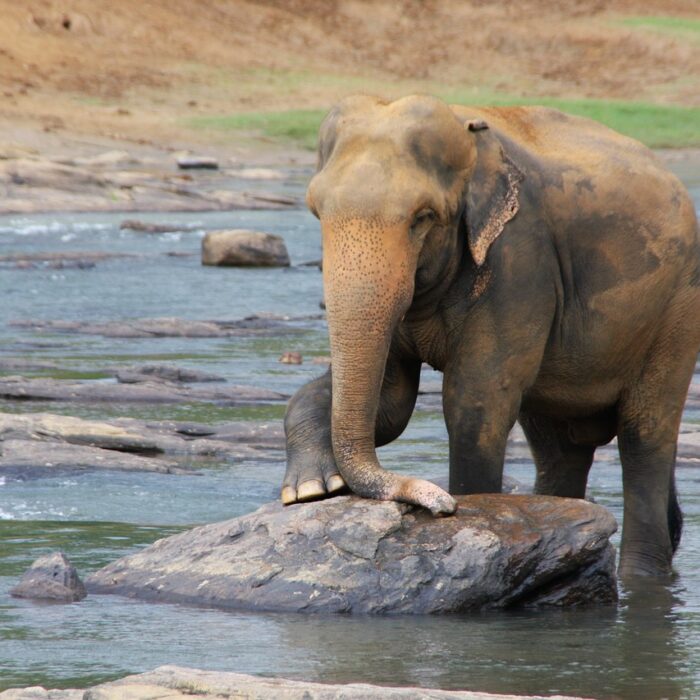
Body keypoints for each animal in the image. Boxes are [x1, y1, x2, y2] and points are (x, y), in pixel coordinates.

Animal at [282, 94, 700, 578]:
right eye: (316, 212)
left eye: (423, 218)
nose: (440, 504)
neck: (468, 131)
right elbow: (393, 402)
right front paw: (311, 489)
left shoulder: (520, 259)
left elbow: (475, 402)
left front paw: (466, 506)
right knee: (560, 447)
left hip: (677, 313)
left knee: (644, 437)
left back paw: (639, 576)